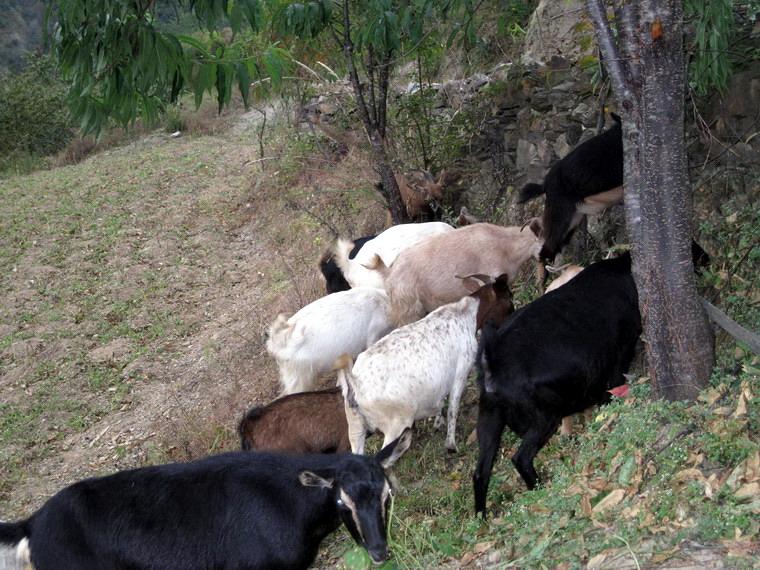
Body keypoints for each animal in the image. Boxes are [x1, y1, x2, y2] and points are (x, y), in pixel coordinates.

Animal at [336, 274, 512, 452]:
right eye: (508, 298)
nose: (511, 320)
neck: (466, 314)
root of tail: (356, 382)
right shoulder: (461, 372)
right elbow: (453, 409)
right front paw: (451, 445)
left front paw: (438, 422)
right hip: (395, 424)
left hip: (355, 427)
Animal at [476, 251, 640, 512]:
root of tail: (492, 360)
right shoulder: (620, 355)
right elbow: (612, 389)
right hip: (543, 416)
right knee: (520, 457)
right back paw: (538, 488)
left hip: (489, 418)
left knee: (481, 472)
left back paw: (481, 516)